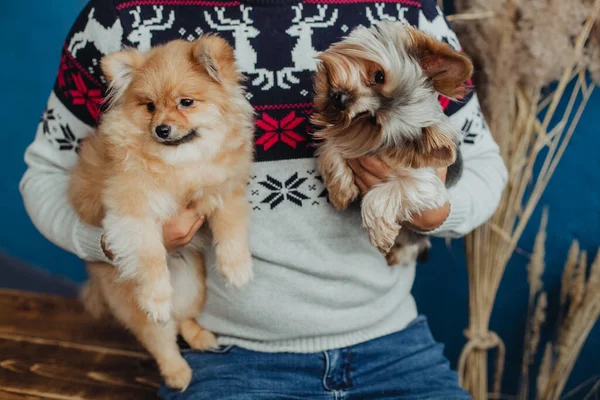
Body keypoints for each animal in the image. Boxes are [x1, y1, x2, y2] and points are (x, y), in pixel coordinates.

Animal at [68, 35, 255, 390]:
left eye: (186, 102)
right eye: (150, 106)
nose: (162, 129)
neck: (181, 163)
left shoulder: (224, 189)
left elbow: (231, 229)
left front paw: (237, 268)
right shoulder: (132, 208)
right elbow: (150, 255)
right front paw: (156, 295)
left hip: (195, 284)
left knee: (183, 317)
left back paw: (200, 336)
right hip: (132, 303)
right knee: (162, 337)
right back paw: (177, 371)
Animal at [312, 21, 472, 266]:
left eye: (371, 121)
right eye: (379, 76)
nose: (340, 99)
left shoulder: (428, 184)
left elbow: (383, 194)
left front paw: (380, 233)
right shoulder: (349, 139)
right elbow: (332, 148)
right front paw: (341, 190)